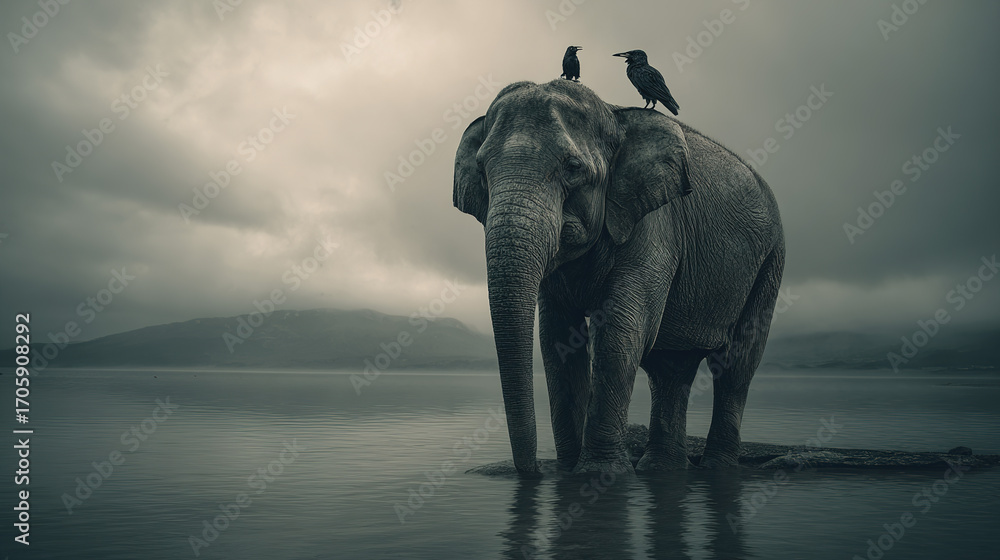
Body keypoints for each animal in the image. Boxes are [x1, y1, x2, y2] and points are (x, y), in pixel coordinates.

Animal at [452, 79, 784, 475]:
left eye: (572, 167)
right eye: (481, 169)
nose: (533, 473)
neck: (613, 116)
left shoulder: (654, 223)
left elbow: (622, 328)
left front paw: (598, 473)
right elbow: (556, 338)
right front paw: (568, 472)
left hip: (770, 263)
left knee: (737, 364)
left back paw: (716, 469)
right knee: (671, 369)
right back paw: (662, 468)